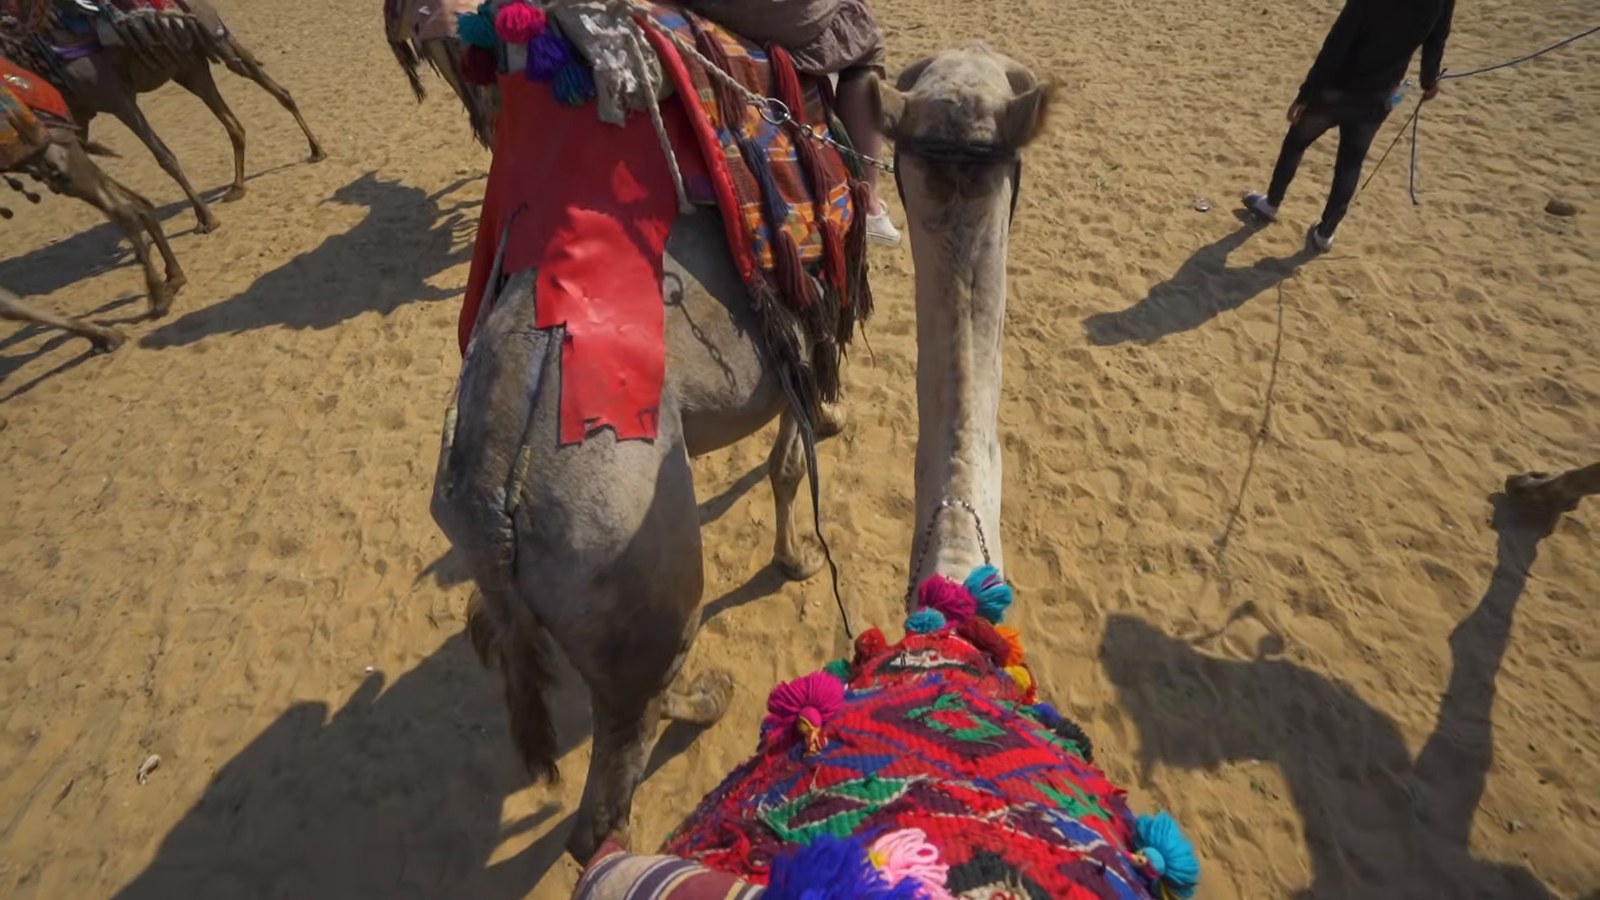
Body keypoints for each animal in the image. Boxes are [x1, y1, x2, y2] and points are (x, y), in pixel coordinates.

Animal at [1, 0, 326, 234]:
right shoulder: (75, 117)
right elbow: (86, 174)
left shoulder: (111, 95)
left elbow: (163, 156)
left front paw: (205, 218)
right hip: (190, 65)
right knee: (237, 120)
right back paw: (238, 186)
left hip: (213, 39)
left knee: (274, 90)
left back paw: (316, 150)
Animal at [430, 37, 1049, 863]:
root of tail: (492, 495)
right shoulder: (803, 332)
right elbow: (789, 461)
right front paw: (799, 553)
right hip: (628, 571)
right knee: (615, 770)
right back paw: (703, 708)